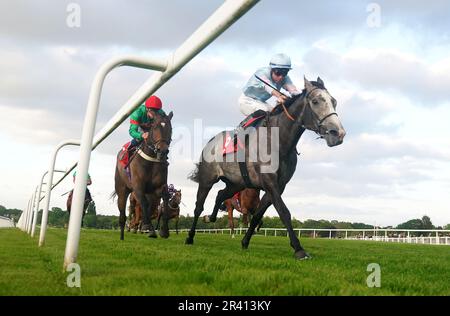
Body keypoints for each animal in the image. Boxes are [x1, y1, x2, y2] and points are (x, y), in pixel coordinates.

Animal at [113, 111, 173, 239]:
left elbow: (165, 199)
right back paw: (122, 235)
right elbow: (144, 203)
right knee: (122, 214)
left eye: (170, 128)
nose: (162, 151)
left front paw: (164, 230)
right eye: (154, 127)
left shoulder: (159, 187)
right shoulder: (138, 187)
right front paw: (147, 227)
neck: (151, 159)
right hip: (122, 190)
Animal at [185, 77, 346, 260]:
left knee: (220, 195)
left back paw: (210, 218)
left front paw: (245, 242)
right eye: (316, 101)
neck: (279, 142)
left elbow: (257, 216)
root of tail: (211, 141)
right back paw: (190, 237)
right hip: (207, 179)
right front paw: (299, 249)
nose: (338, 133)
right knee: (198, 206)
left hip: (236, 183)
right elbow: (284, 212)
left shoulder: (277, 186)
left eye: (334, 101)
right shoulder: (270, 183)